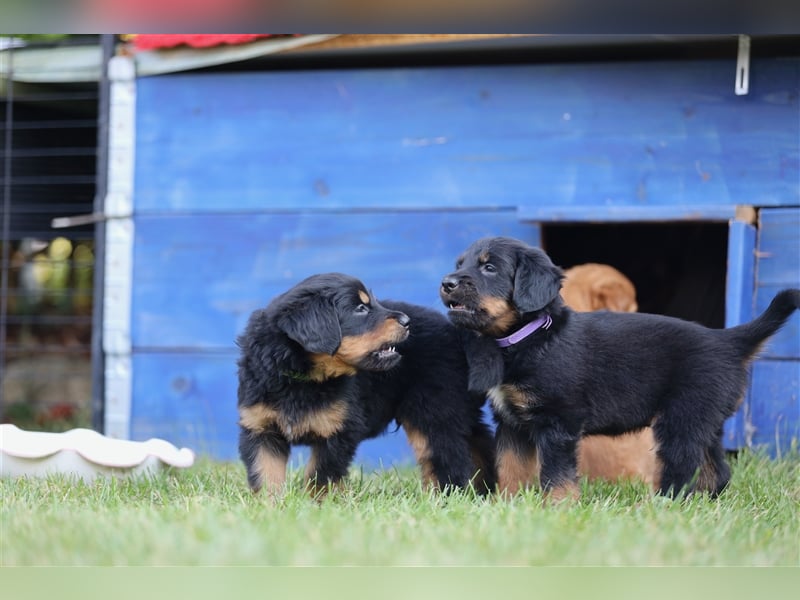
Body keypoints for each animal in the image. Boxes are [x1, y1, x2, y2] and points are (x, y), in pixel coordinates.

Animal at [236, 274, 494, 496]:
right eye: (360, 309)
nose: (406, 321)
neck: (302, 379)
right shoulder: (260, 429)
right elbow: (266, 475)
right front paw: (271, 507)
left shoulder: (340, 431)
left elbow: (320, 476)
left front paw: (315, 507)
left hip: (434, 411)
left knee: (446, 459)